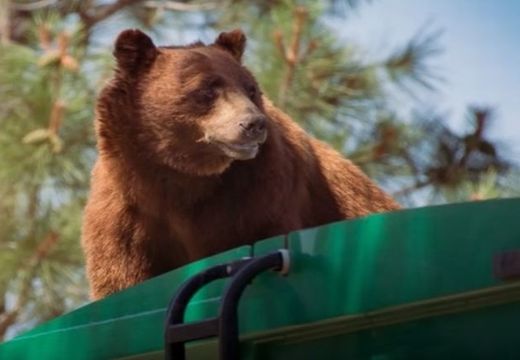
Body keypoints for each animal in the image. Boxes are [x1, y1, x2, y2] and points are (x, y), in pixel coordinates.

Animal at [81, 28, 400, 300]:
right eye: (206, 90)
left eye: (250, 89)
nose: (254, 124)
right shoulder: (124, 215)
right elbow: (121, 276)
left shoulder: (259, 194)